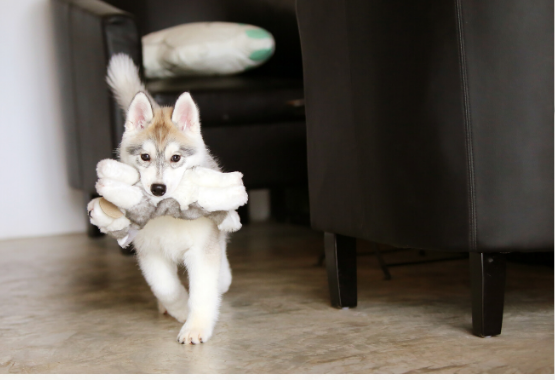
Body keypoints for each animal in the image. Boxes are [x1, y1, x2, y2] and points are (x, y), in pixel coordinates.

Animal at [90, 54, 240, 344]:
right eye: (145, 157)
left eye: (176, 158)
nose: (158, 188)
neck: (168, 213)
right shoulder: (149, 253)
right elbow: (165, 287)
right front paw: (179, 309)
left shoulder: (202, 250)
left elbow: (203, 291)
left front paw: (196, 327)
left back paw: (223, 279)